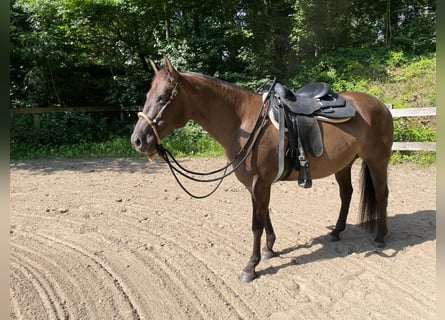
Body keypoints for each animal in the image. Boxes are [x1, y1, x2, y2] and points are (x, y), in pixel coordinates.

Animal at [131, 55, 392, 282]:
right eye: (148, 95)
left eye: (163, 97)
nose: (137, 140)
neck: (243, 121)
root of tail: (381, 105)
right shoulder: (255, 183)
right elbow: (265, 213)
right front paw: (269, 249)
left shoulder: (260, 181)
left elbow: (256, 223)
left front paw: (251, 267)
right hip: (344, 164)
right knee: (346, 194)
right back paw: (336, 232)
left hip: (377, 161)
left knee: (381, 195)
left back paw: (380, 237)